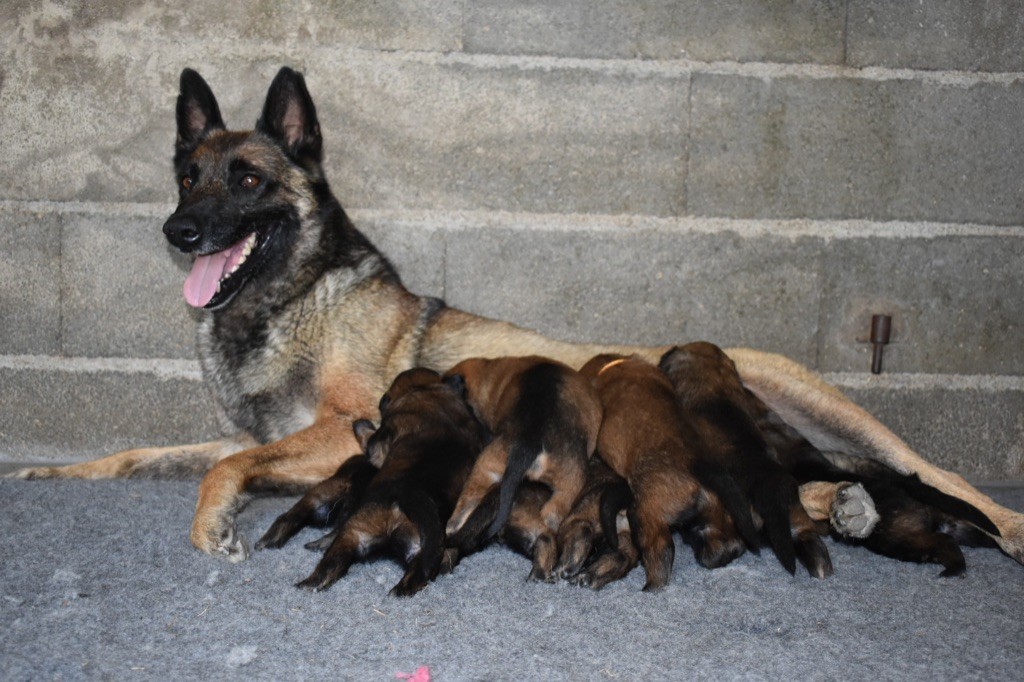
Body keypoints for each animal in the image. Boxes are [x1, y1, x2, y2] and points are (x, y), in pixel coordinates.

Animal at [577, 352, 761, 585]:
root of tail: (700, 468)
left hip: (645, 513)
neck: (615, 365)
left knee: (660, 553)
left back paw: (650, 585)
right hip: (717, 515)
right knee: (726, 543)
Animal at [659, 342, 835, 577]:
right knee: (807, 535)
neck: (712, 381)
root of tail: (771, 485)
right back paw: (821, 563)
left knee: (723, 546)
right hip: (795, 514)